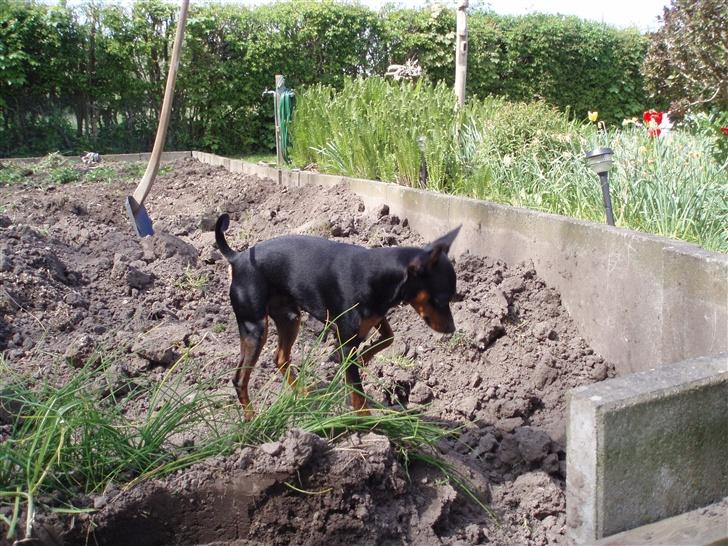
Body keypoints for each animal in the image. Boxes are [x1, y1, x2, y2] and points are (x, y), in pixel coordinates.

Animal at [213, 211, 458, 416]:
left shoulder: (375, 318)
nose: (452, 329)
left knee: (280, 357)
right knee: (239, 379)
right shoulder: (347, 338)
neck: (379, 275)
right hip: (255, 328)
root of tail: (237, 259)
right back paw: (252, 420)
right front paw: (367, 424)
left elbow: (388, 338)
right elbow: (358, 393)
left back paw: (303, 394)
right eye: (440, 299)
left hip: (289, 318)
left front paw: (362, 358)